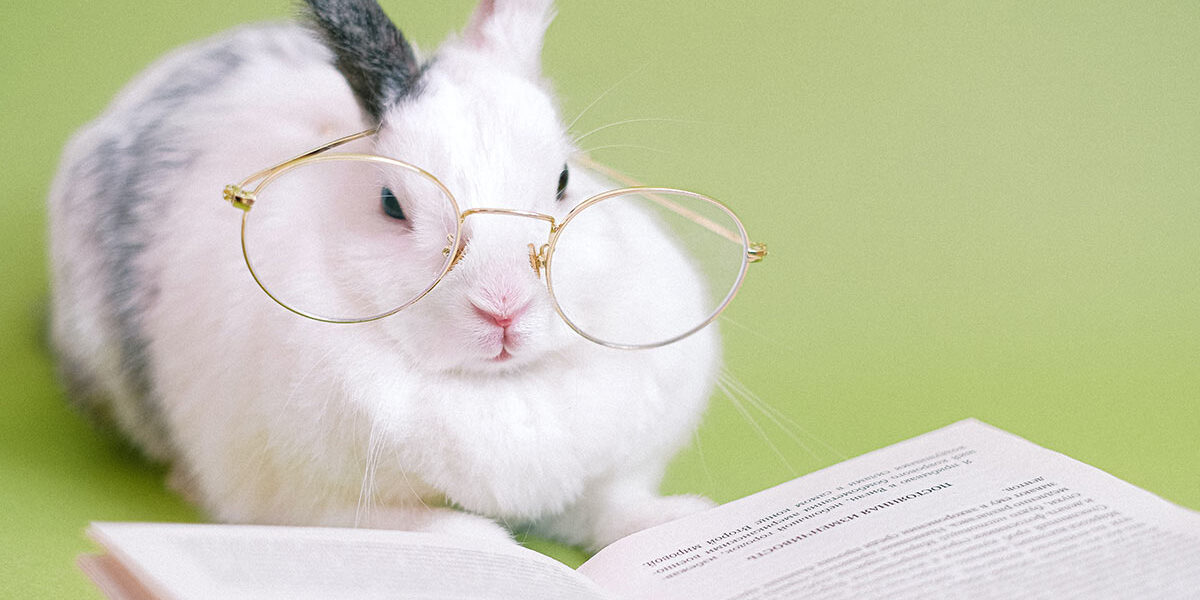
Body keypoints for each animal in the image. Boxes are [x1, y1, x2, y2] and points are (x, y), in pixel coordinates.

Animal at [47, 0, 720, 550]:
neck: (495, 388)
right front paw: (488, 546)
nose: (503, 308)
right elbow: (426, 530)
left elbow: (611, 509)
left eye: (563, 181)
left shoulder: (604, 477)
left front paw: (680, 519)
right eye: (391, 204)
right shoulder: (305, 503)